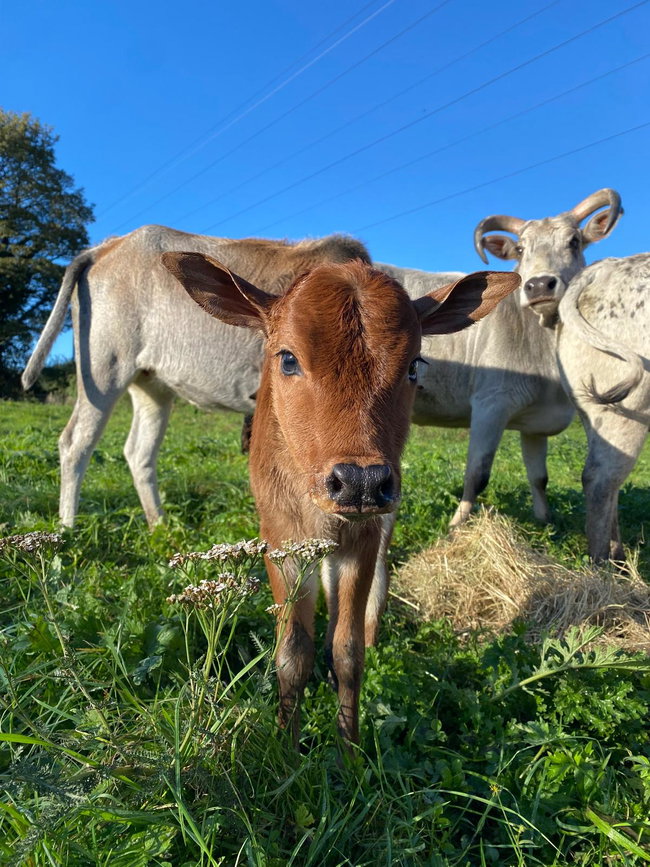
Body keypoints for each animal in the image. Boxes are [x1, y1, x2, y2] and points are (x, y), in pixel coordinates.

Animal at [21, 226, 371, 527]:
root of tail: (106, 246)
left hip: (152, 386)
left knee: (138, 451)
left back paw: (160, 524)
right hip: (105, 367)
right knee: (75, 442)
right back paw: (67, 527)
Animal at [162, 252, 519, 746]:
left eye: (414, 365)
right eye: (288, 359)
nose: (360, 482)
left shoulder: (362, 540)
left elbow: (348, 653)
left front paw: (349, 751)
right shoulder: (280, 541)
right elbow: (293, 653)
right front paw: (286, 747)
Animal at [377, 188, 623, 528]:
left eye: (574, 241)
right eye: (520, 248)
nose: (539, 285)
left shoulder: (535, 421)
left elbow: (539, 477)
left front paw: (545, 520)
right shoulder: (491, 403)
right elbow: (477, 474)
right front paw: (456, 526)